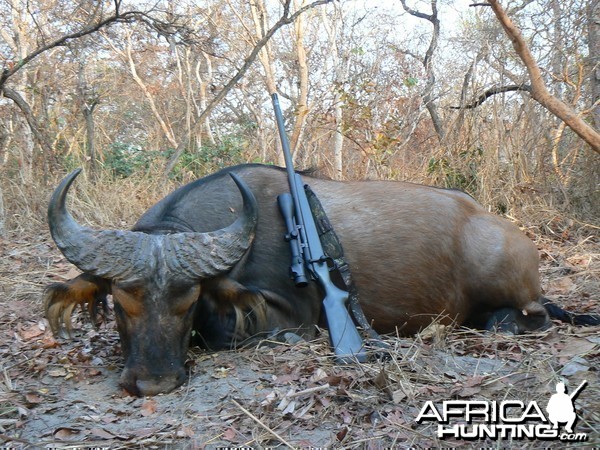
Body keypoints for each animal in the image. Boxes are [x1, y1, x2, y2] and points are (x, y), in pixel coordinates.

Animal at [43, 163, 600, 396]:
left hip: (512, 291)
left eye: (188, 300)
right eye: (120, 303)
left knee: (535, 316)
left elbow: (227, 331)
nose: (154, 383)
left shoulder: (291, 318)